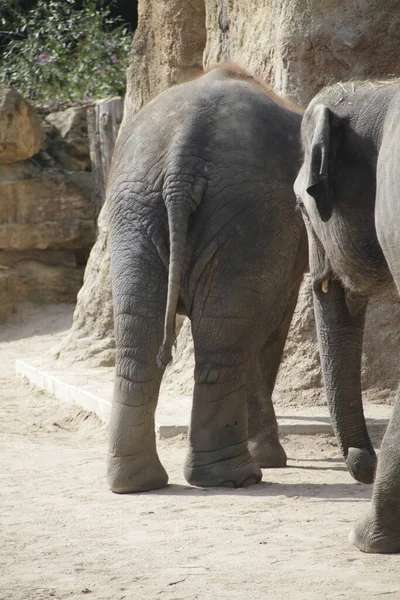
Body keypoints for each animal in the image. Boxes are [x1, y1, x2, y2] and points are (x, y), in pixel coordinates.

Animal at [106, 65, 306, 494]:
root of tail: (184, 149)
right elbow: (271, 324)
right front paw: (272, 458)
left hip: (135, 204)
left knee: (141, 335)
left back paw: (137, 483)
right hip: (250, 214)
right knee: (229, 338)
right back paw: (238, 478)